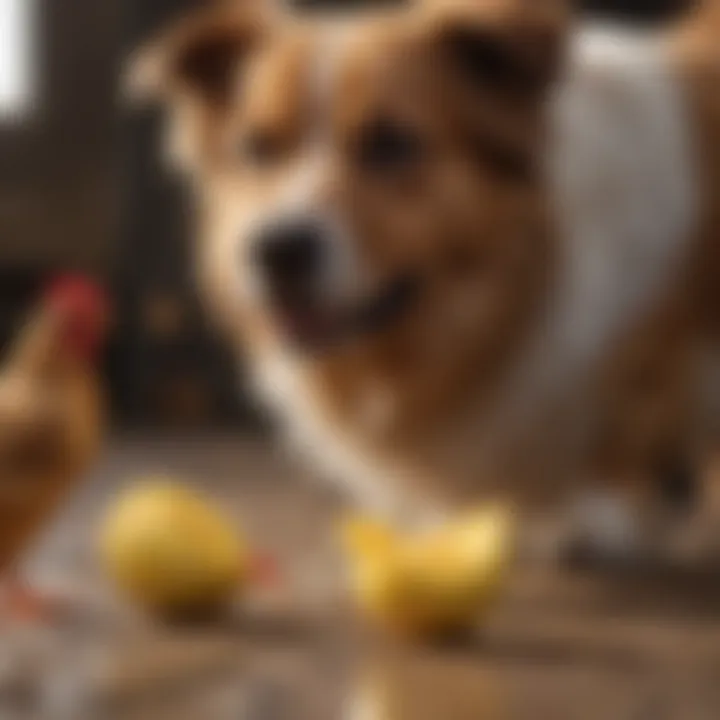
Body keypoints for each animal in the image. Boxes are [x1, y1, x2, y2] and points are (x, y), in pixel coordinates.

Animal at [129, 0, 720, 564]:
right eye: (257, 147)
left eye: (390, 143)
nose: (277, 250)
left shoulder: (654, 340)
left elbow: (627, 418)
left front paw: (593, 519)